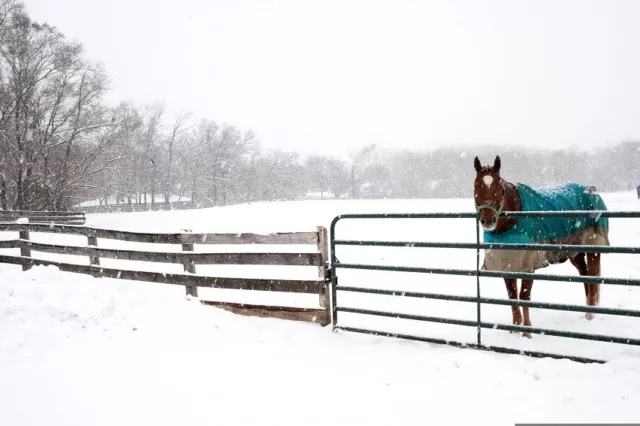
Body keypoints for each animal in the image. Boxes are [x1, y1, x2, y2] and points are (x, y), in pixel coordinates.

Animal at [470, 155, 608, 338]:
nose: (488, 220)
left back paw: (590, 314)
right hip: (575, 252)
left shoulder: (529, 264)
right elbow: (512, 296)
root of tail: (592, 191)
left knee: (592, 278)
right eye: (476, 186)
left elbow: (524, 295)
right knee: (584, 275)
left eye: (499, 187)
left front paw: (527, 332)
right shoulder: (506, 263)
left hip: (592, 248)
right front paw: (514, 329)